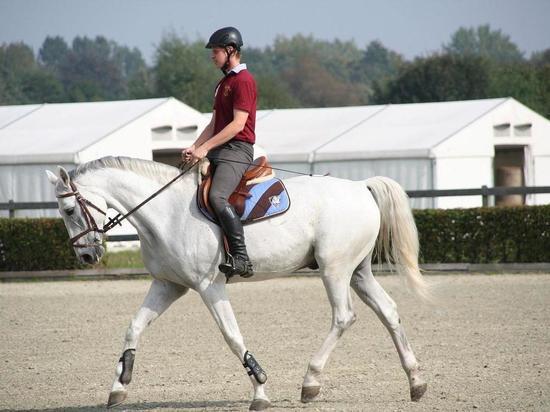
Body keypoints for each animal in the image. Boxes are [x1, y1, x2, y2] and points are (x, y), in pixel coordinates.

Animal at [46, 157, 432, 408]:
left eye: (68, 211)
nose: (86, 256)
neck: (165, 214)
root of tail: (360, 187)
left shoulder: (209, 286)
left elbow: (231, 336)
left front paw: (259, 389)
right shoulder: (168, 285)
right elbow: (134, 327)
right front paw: (119, 384)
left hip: (334, 269)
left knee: (343, 316)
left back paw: (310, 381)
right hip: (357, 271)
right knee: (389, 311)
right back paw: (416, 382)